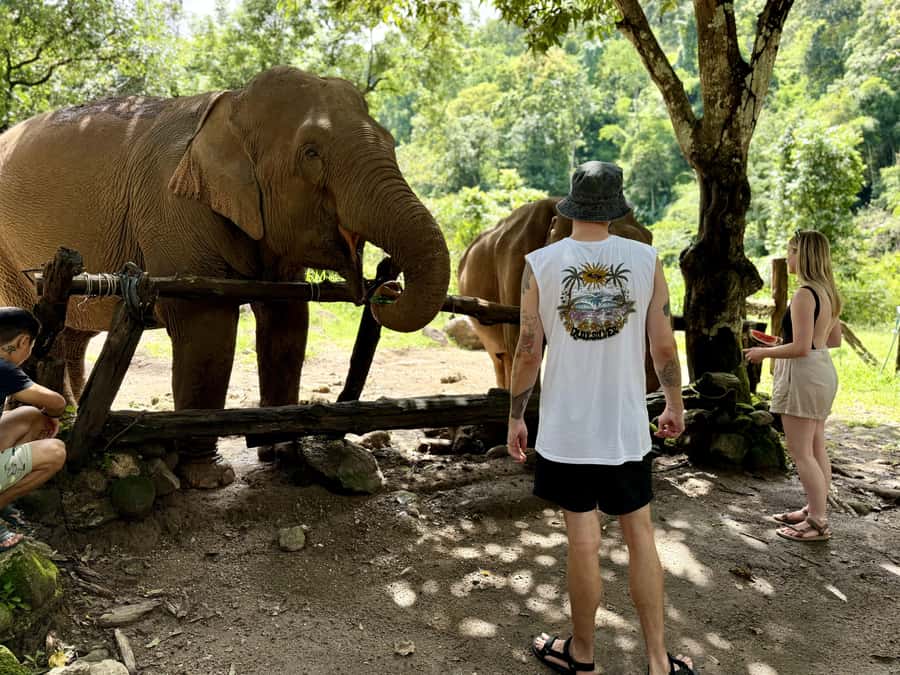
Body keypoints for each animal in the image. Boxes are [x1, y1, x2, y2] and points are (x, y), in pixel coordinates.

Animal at [0, 66, 450, 488]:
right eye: (311, 153)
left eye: (390, 140)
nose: (386, 286)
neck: (231, 105)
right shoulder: (174, 211)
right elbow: (207, 329)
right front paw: (210, 477)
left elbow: (287, 322)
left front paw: (285, 454)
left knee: (73, 336)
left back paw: (70, 415)